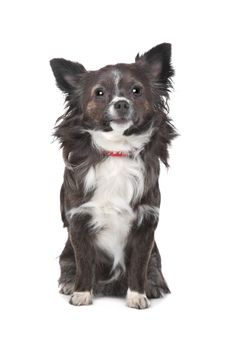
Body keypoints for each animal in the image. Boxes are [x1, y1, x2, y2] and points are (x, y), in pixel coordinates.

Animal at [49, 42, 177, 308]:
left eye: (136, 91)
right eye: (99, 93)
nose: (121, 103)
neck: (116, 151)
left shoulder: (146, 225)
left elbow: (138, 265)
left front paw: (137, 295)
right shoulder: (79, 222)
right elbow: (85, 262)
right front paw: (81, 293)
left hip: (156, 256)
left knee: (152, 268)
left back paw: (153, 286)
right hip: (66, 253)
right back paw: (69, 283)